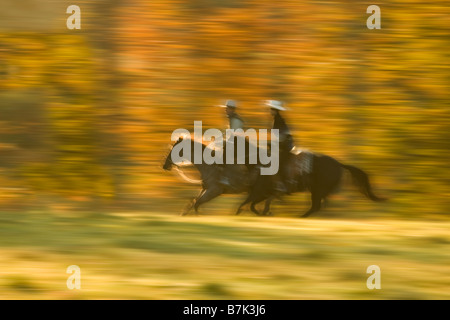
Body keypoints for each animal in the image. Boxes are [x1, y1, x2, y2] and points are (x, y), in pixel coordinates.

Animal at [234, 151, 384, 218]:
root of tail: (339, 164)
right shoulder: (264, 194)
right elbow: (253, 205)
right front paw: (264, 212)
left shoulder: (259, 192)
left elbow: (246, 203)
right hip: (317, 191)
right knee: (319, 206)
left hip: (317, 190)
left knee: (316, 206)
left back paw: (301, 216)